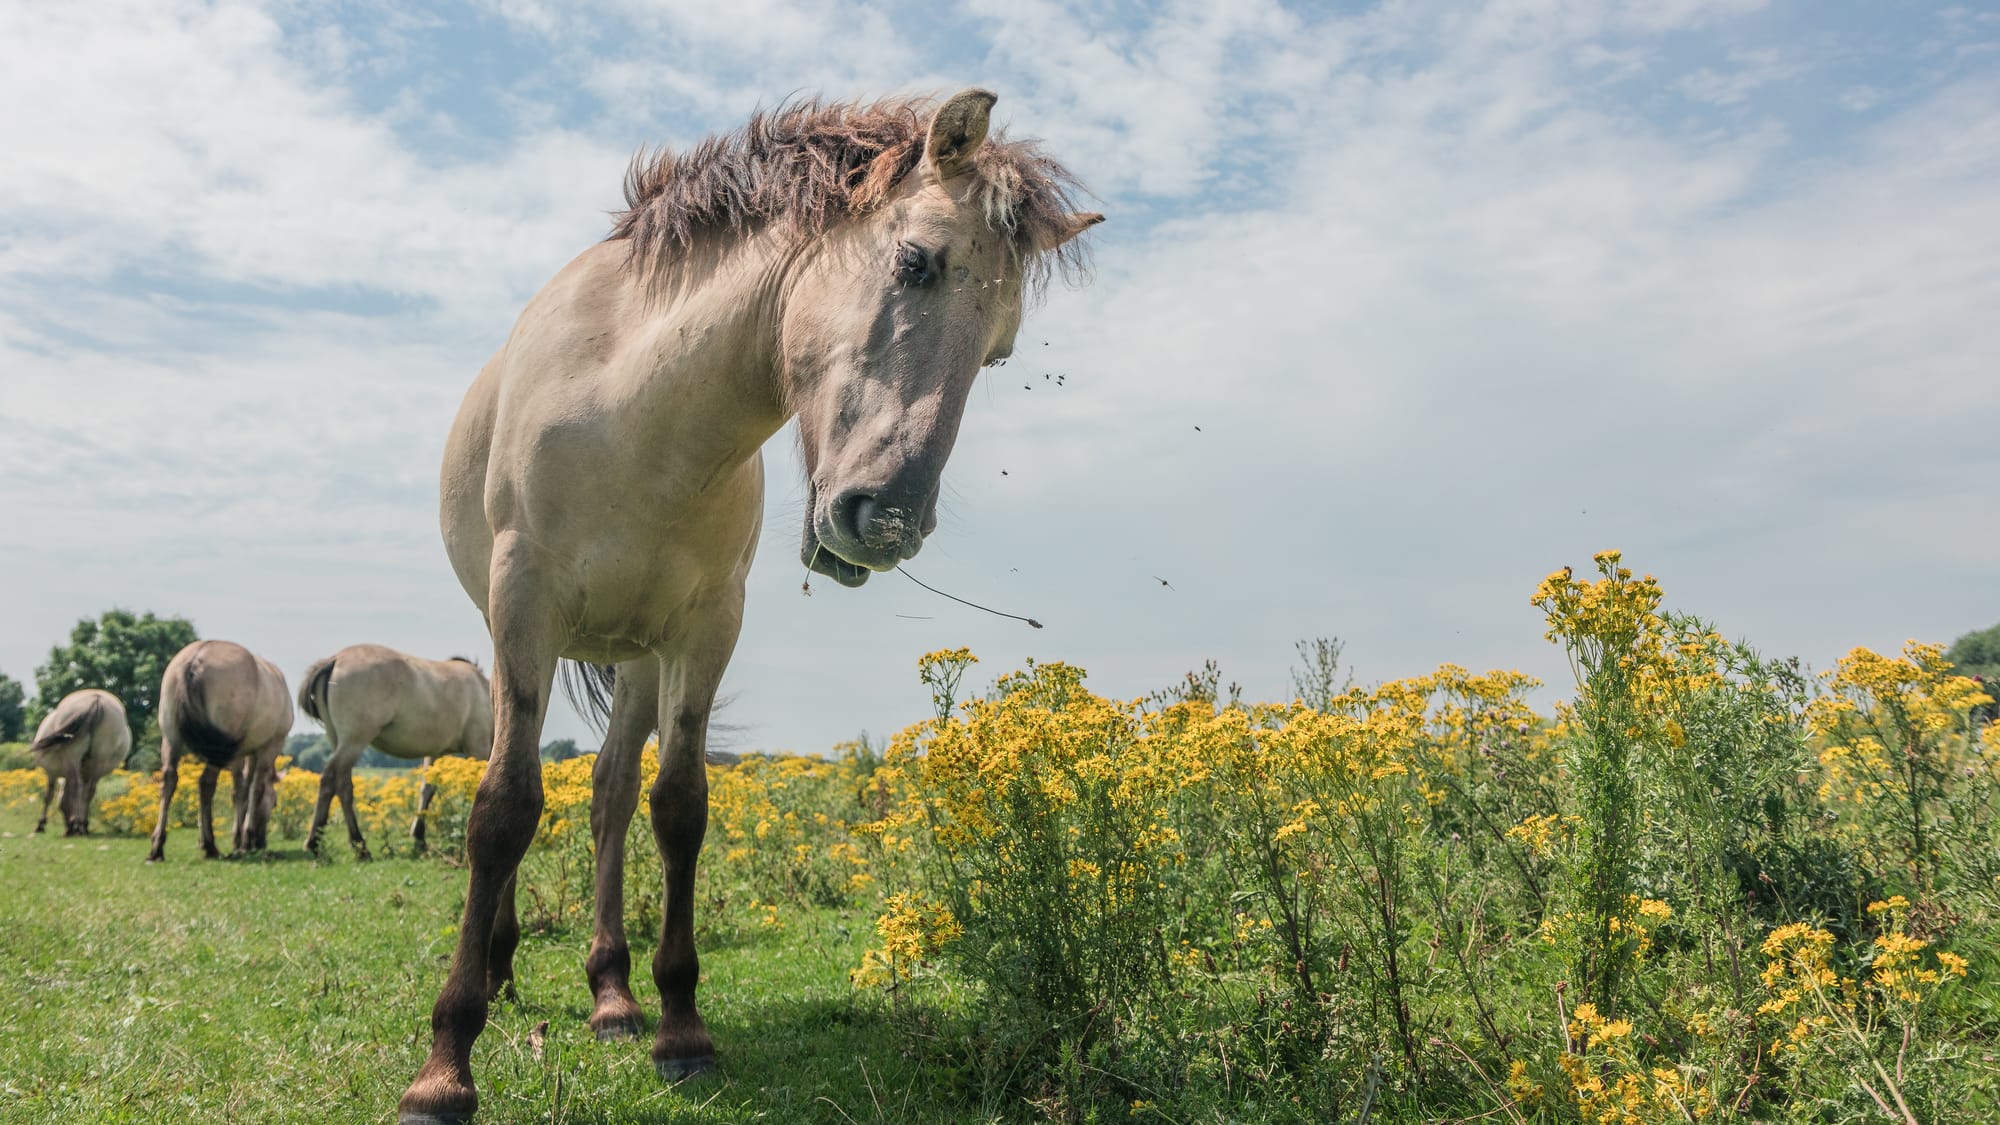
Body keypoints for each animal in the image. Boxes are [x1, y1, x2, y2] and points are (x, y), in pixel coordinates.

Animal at [29, 684, 132, 832]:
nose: (66, 825)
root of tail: (96, 699)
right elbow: (82, 793)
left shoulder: (51, 773)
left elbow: (49, 795)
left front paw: (41, 824)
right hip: (100, 757)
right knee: (89, 789)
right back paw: (82, 824)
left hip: (73, 754)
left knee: (75, 785)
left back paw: (76, 825)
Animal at [146, 640, 292, 856]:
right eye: (274, 803)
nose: (262, 842)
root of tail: (195, 659)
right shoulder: (269, 746)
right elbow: (254, 789)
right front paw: (245, 838)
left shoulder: (242, 754)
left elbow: (240, 789)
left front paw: (238, 839)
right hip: (219, 749)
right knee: (206, 783)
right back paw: (210, 845)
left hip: (172, 738)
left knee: (169, 779)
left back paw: (158, 847)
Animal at [300, 644, 496, 852]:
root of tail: (335, 659)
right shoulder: (478, 747)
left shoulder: (436, 753)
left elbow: (427, 789)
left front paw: (419, 837)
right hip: (354, 742)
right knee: (333, 781)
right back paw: (342, 844)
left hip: (339, 740)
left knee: (341, 785)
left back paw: (337, 842)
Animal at [398, 89, 1104, 1120]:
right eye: (913, 261)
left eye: (1001, 348)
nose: (885, 521)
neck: (634, 411)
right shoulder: (521, 609)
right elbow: (502, 806)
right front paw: (445, 1065)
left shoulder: (705, 630)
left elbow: (678, 806)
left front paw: (680, 1029)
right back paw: (499, 967)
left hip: (640, 659)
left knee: (610, 794)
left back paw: (612, 997)